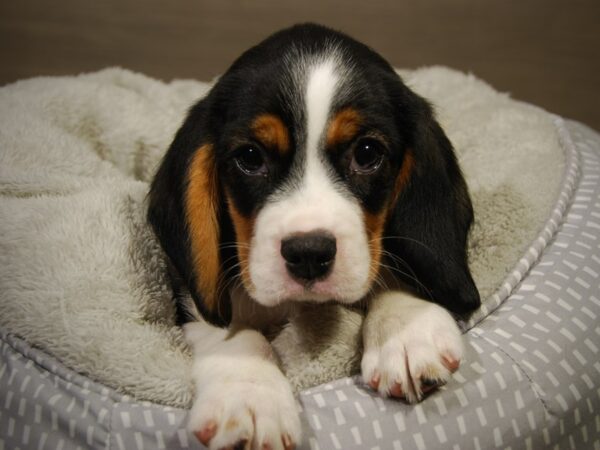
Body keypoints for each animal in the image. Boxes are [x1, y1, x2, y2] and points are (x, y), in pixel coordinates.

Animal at [148, 23, 480, 450]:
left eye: (367, 153)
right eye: (250, 157)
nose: (308, 253)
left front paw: (406, 327)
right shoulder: (188, 297)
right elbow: (233, 332)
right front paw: (249, 394)